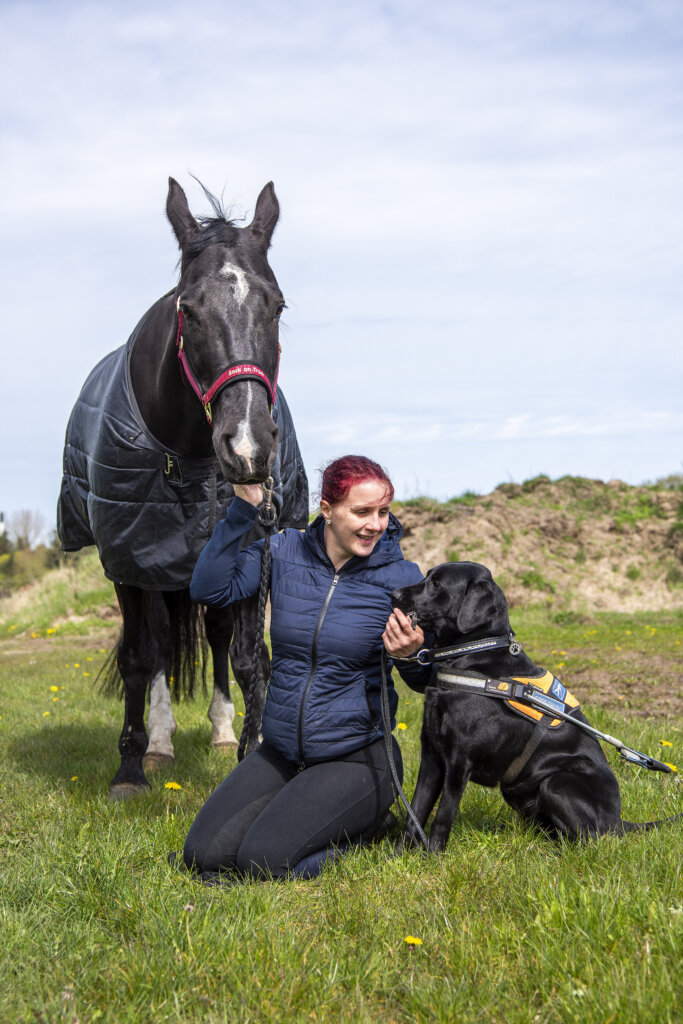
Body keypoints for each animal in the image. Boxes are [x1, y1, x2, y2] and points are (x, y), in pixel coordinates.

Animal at [58, 178, 309, 798]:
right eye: (188, 309)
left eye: (277, 305)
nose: (247, 446)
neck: (189, 455)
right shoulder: (128, 557)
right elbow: (140, 655)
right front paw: (130, 767)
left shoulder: (252, 547)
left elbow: (248, 657)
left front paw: (250, 749)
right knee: (160, 643)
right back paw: (161, 742)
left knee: (212, 636)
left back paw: (218, 730)